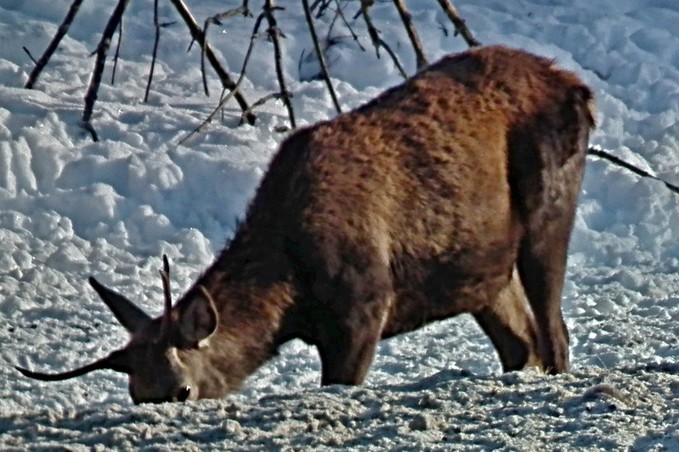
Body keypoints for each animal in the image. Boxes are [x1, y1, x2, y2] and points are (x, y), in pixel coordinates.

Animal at [15, 46, 596, 404]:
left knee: (555, 335)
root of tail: (580, 89)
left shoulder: (365, 305)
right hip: (484, 269)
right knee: (522, 345)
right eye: (137, 393)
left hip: (549, 208)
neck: (291, 291)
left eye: (181, 390)